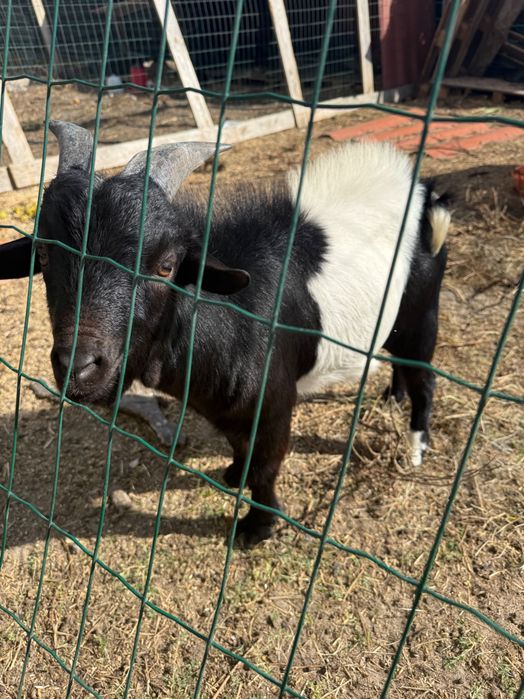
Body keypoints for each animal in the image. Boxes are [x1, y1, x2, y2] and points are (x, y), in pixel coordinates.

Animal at [0, 121, 450, 545]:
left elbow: (266, 467)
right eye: (43, 254)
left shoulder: (273, 406)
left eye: (166, 266)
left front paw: (256, 527)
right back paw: (392, 397)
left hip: (422, 315)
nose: (79, 367)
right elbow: (239, 446)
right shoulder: (226, 408)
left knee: (424, 378)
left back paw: (416, 448)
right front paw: (235, 475)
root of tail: (423, 193)